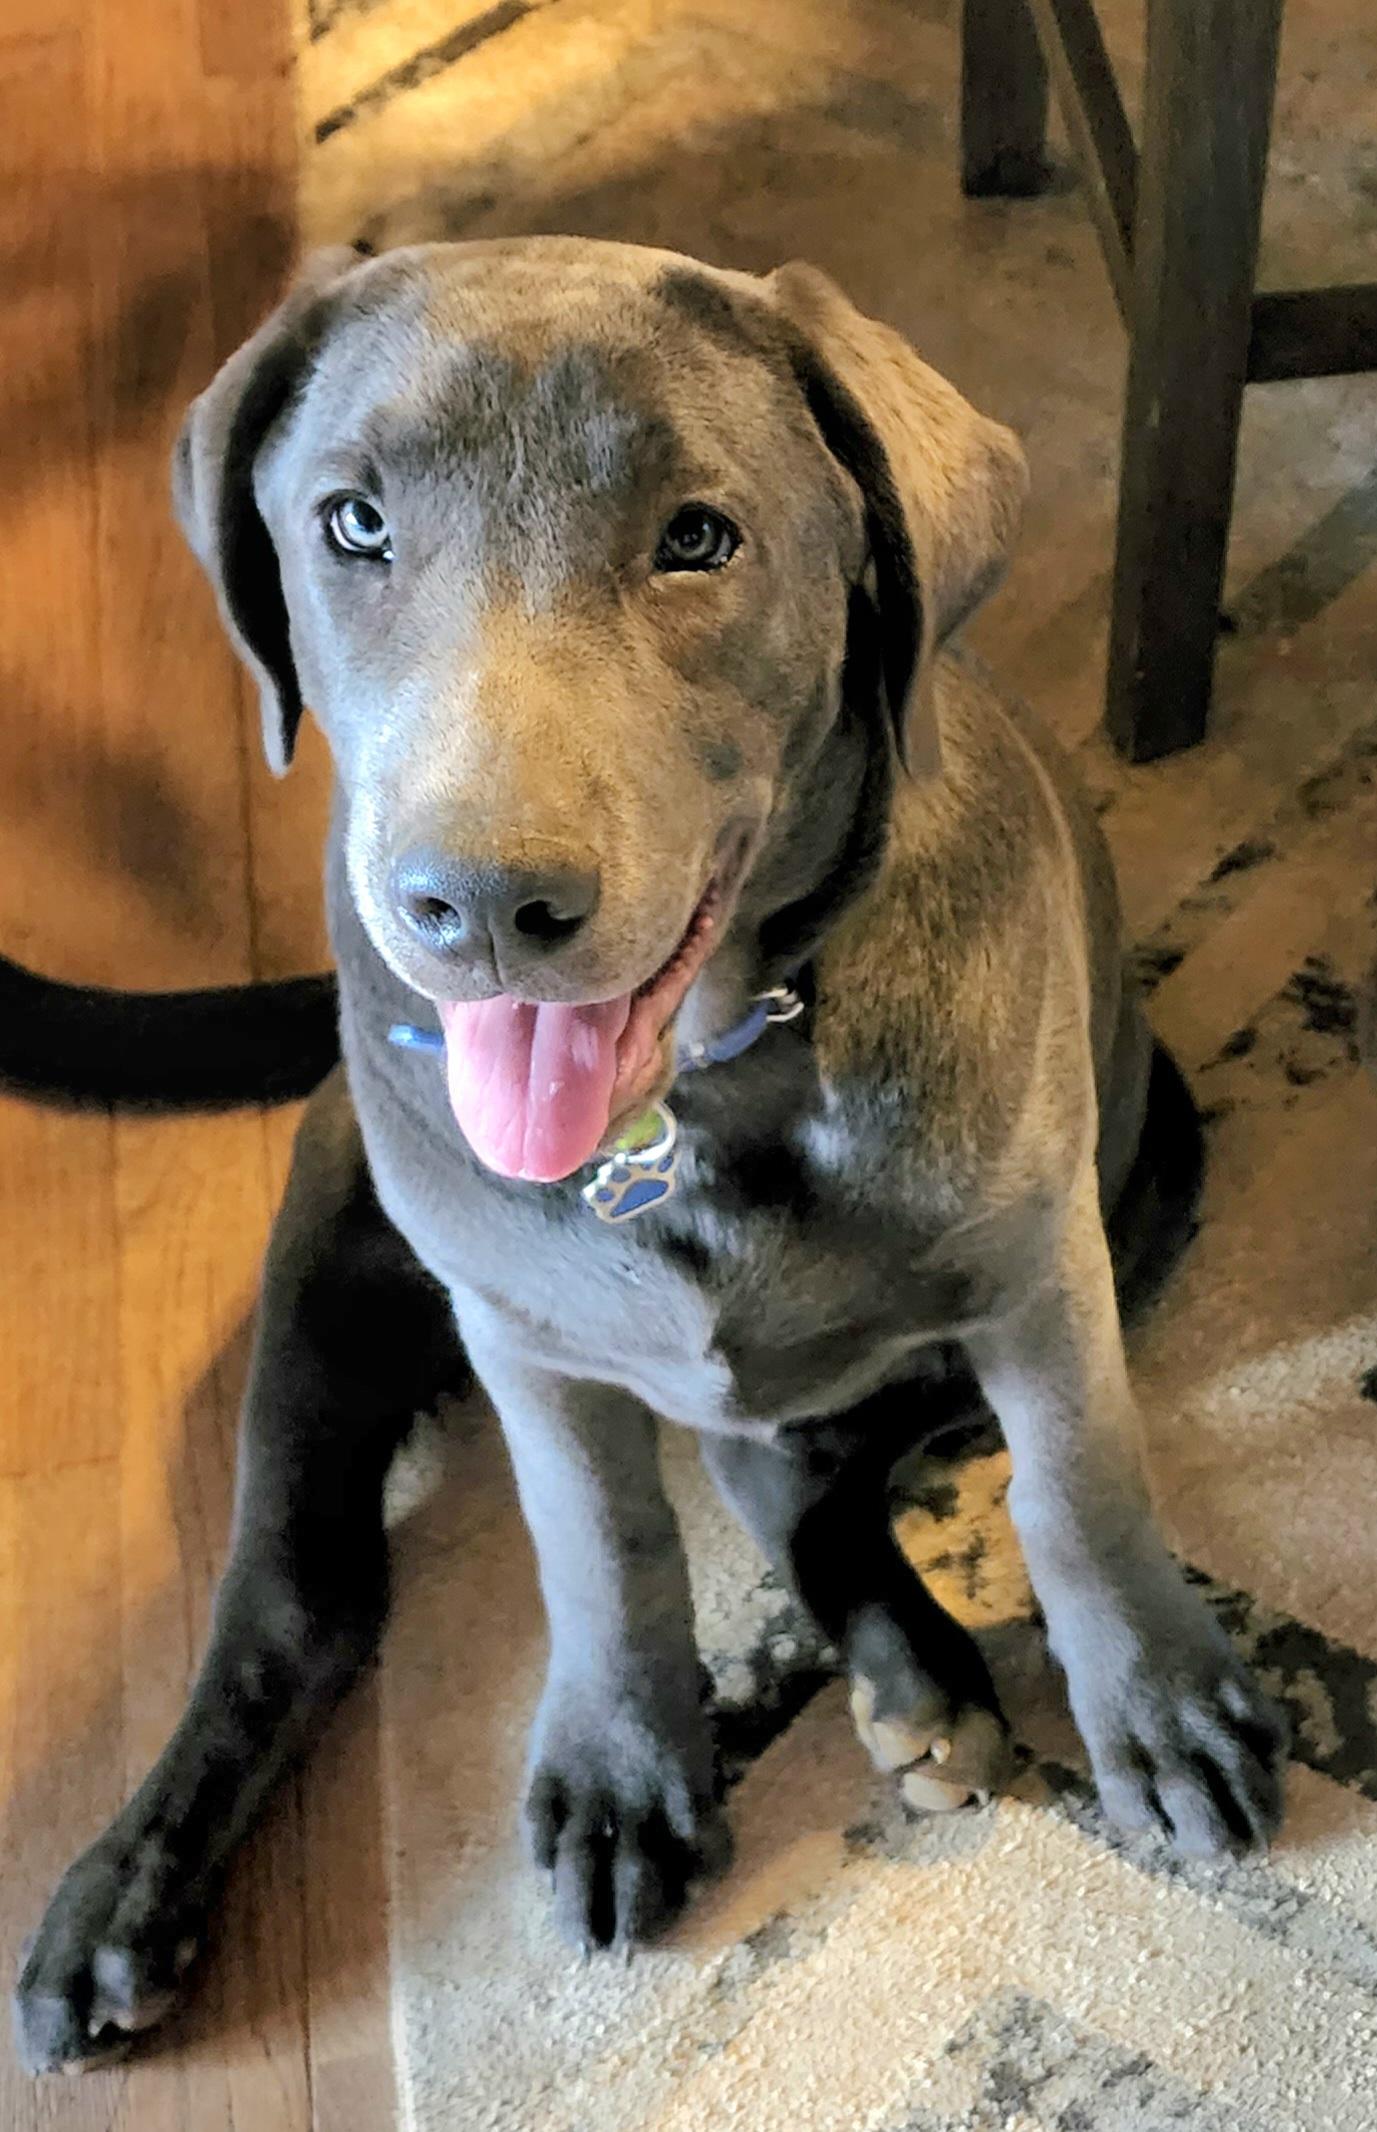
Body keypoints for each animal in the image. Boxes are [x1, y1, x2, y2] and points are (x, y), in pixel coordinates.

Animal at [13, 239, 1286, 2075]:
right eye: (352, 522)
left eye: (698, 537)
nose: (480, 904)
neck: (699, 1089)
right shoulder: (518, 1331)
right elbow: (601, 1541)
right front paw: (624, 1766)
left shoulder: (1039, 1257)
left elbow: (1075, 1481)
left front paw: (1161, 1705)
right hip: (326, 1265)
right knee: (300, 1600)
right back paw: (121, 1893)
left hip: (1153, 1165)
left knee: (792, 1461)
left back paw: (916, 1685)